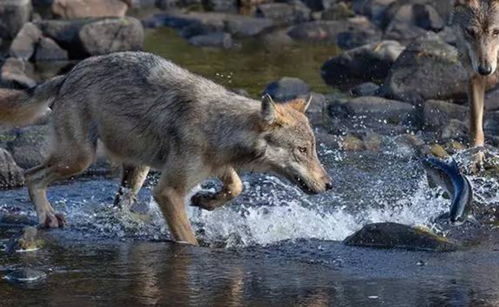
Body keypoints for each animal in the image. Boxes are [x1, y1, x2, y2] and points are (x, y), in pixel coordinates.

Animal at [0, 51, 334, 247]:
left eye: (313, 149)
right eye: (303, 150)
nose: (330, 184)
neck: (221, 127)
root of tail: (70, 72)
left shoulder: (218, 167)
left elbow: (236, 186)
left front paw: (205, 201)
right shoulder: (168, 192)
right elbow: (187, 238)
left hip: (137, 168)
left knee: (118, 206)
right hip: (80, 159)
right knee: (31, 175)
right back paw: (47, 217)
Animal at [456, 0, 499, 168]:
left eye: (497, 32)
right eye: (471, 32)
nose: (485, 70)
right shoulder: (474, 76)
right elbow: (475, 126)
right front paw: (474, 157)